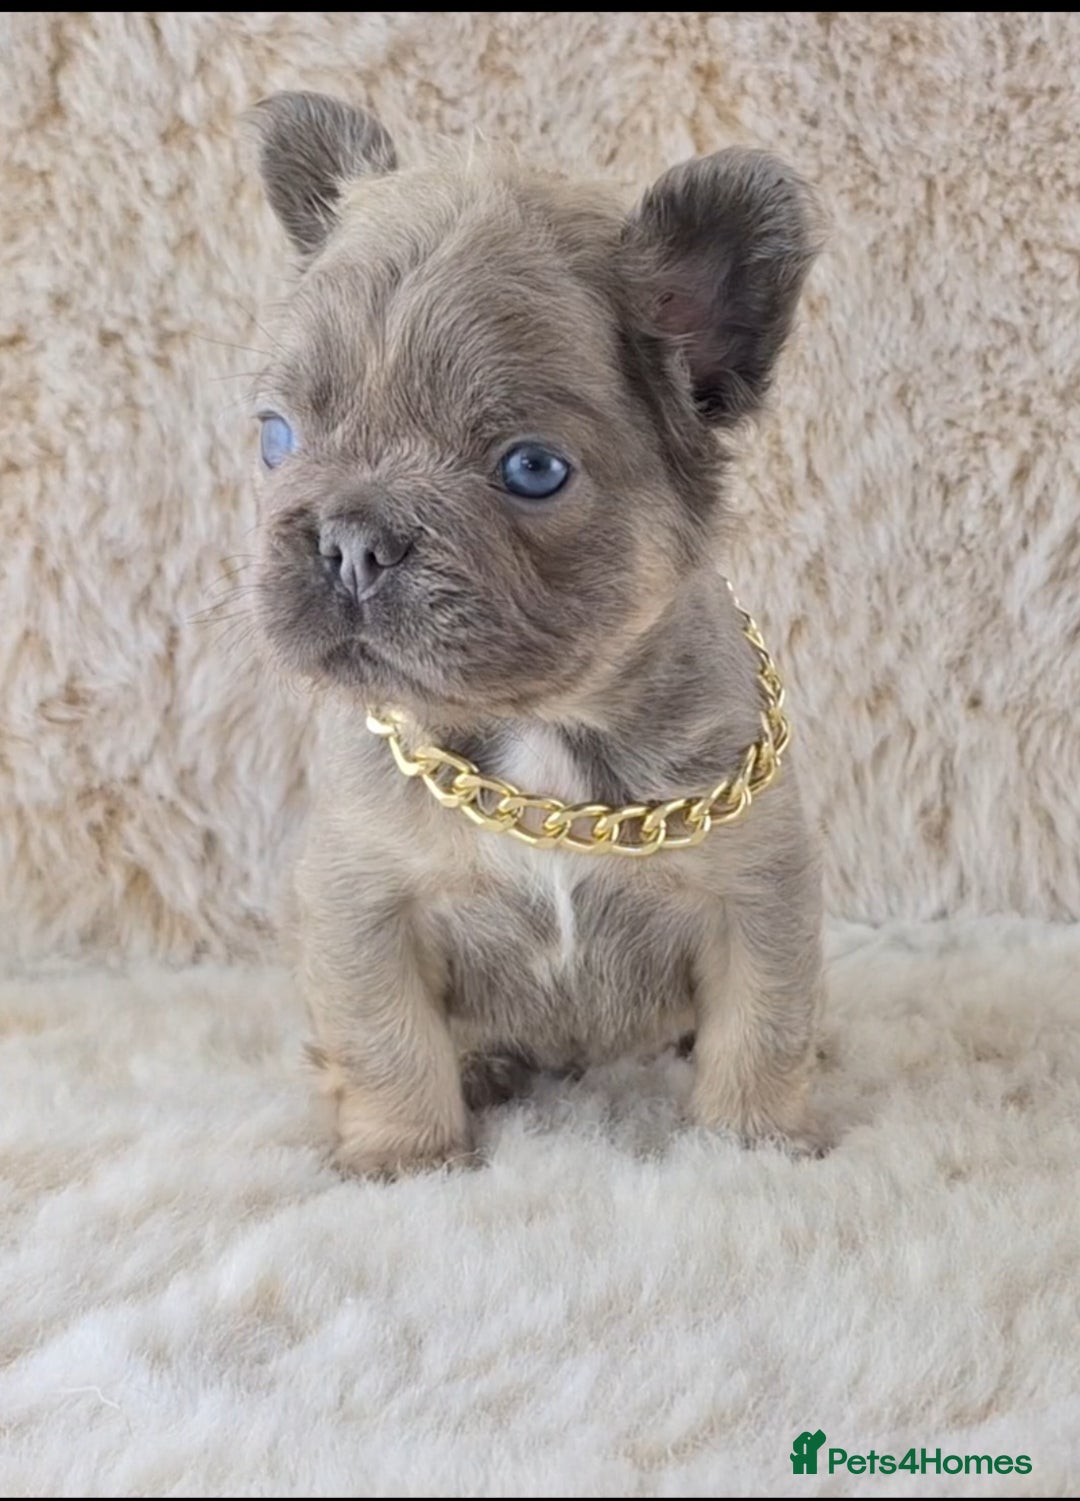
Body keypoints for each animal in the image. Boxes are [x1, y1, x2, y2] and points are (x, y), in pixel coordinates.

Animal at [247, 91, 825, 1177]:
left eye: (532, 469)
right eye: (276, 438)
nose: (350, 540)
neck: (542, 735)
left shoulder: (759, 901)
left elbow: (761, 1028)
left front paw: (755, 1144)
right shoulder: (361, 910)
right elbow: (385, 1039)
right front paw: (403, 1153)